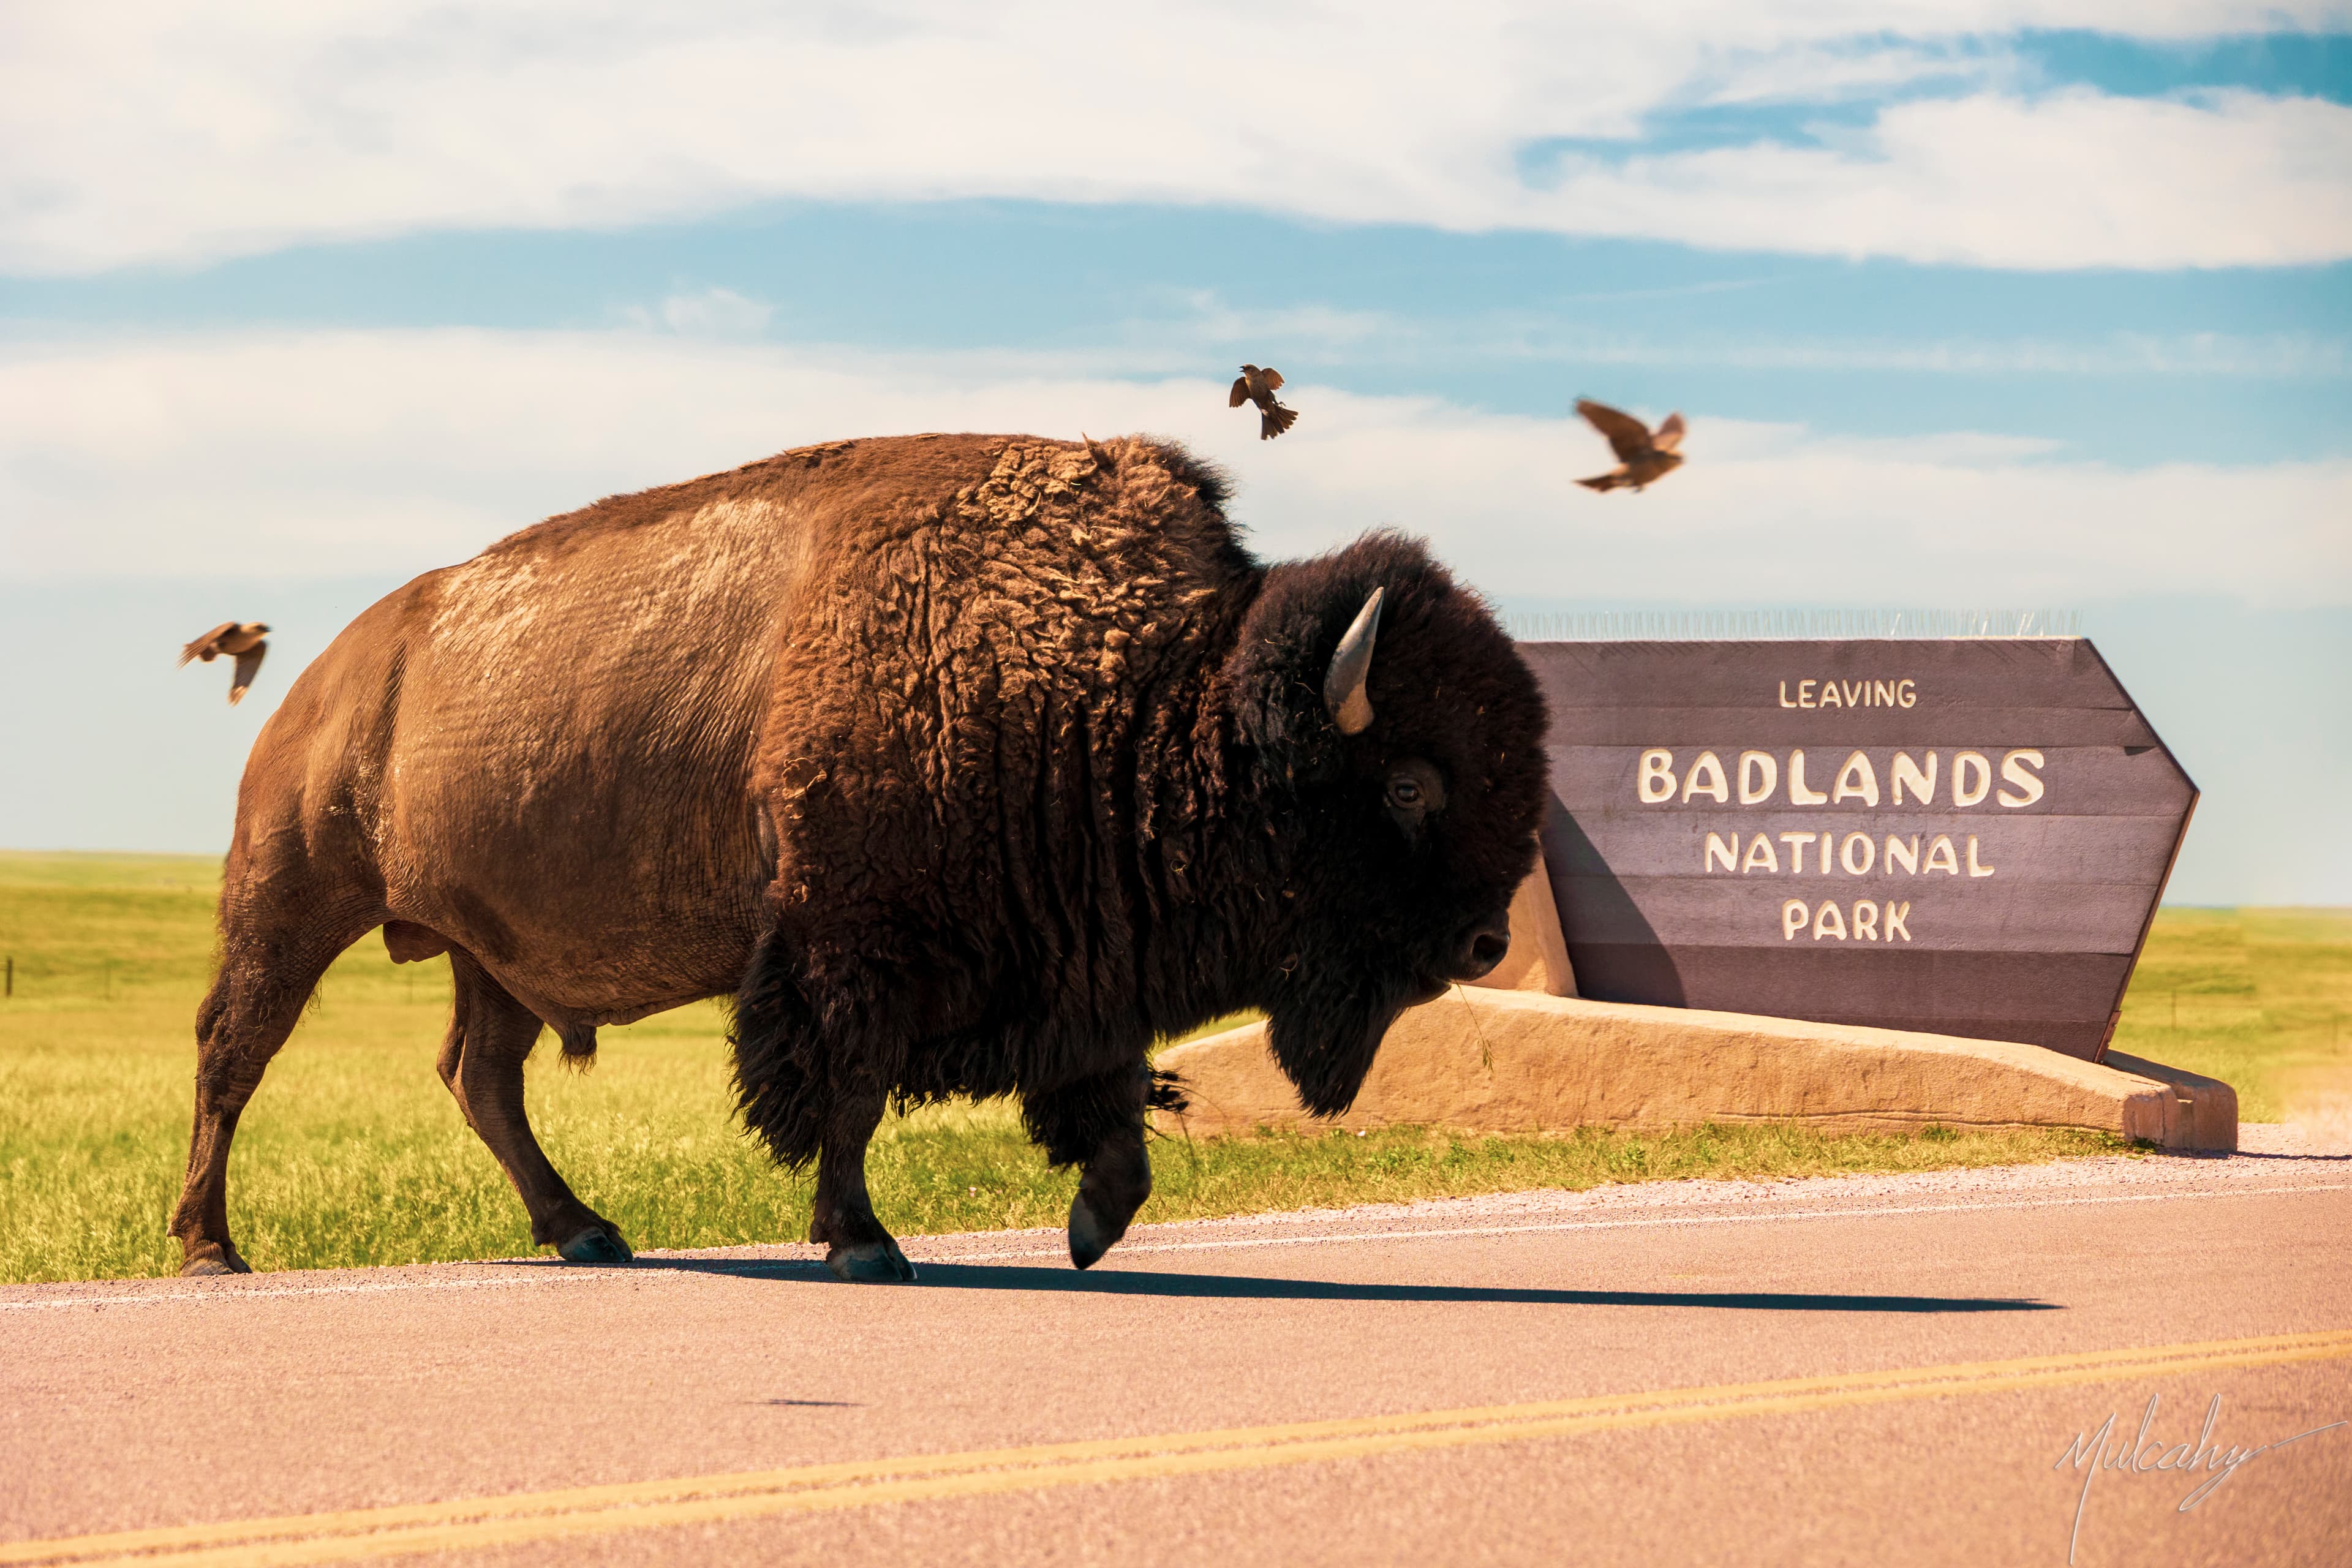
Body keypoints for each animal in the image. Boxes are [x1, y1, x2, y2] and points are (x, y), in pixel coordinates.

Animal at [169, 434, 1549, 1280]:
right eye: (1412, 781)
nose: (1487, 938)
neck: (1158, 688)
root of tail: (333, 669)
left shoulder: (1076, 961)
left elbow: (1101, 1093)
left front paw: (1095, 1222)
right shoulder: (850, 947)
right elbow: (849, 1092)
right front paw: (865, 1241)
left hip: (486, 956)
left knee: (482, 1076)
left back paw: (588, 1231)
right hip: (292, 899)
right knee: (235, 1053)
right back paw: (209, 1247)